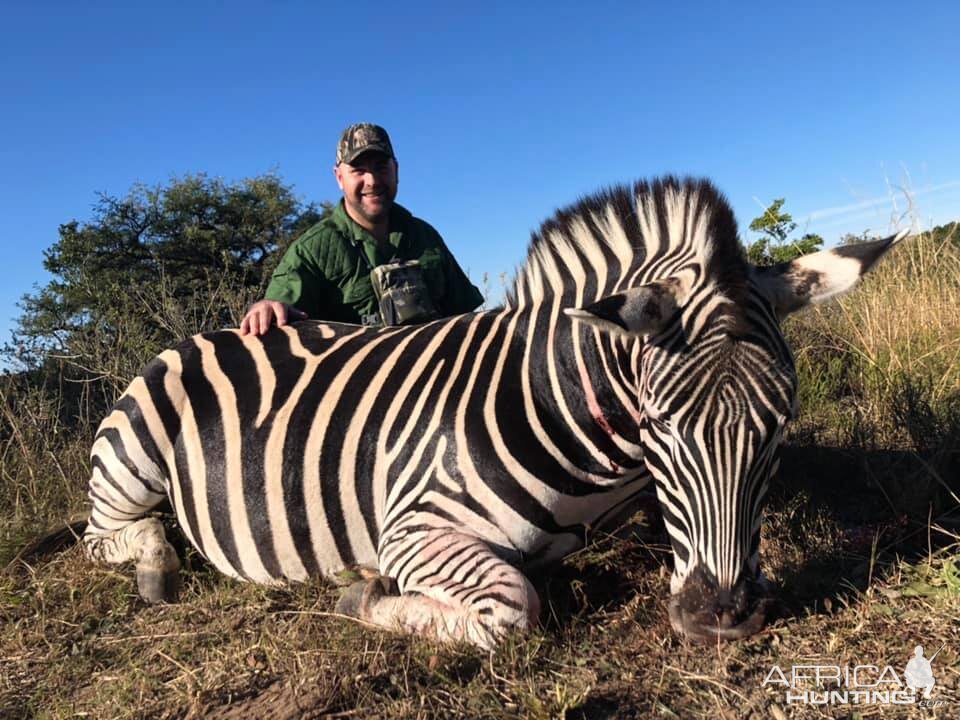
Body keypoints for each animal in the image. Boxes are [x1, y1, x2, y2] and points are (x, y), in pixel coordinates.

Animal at [84, 176, 908, 648]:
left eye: (780, 426)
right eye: (662, 424)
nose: (721, 618)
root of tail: (205, 332)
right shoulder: (412, 529)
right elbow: (512, 607)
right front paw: (362, 596)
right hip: (129, 461)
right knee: (109, 537)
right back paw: (157, 567)